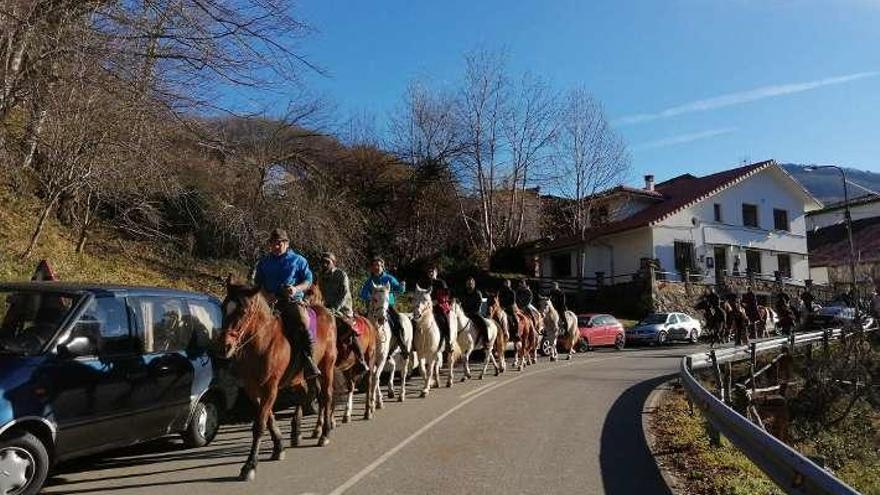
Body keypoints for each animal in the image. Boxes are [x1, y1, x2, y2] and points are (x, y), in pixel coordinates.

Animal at [222, 280, 338, 482]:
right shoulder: (253, 389)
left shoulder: (270, 387)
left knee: (326, 397)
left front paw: (249, 466)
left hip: (327, 366)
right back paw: (298, 432)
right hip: (300, 378)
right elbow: (268, 418)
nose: (224, 346)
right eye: (223, 308)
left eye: (242, 312)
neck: (262, 344)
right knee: (306, 395)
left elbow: (259, 425)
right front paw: (279, 447)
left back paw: (324, 434)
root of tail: (326, 311)